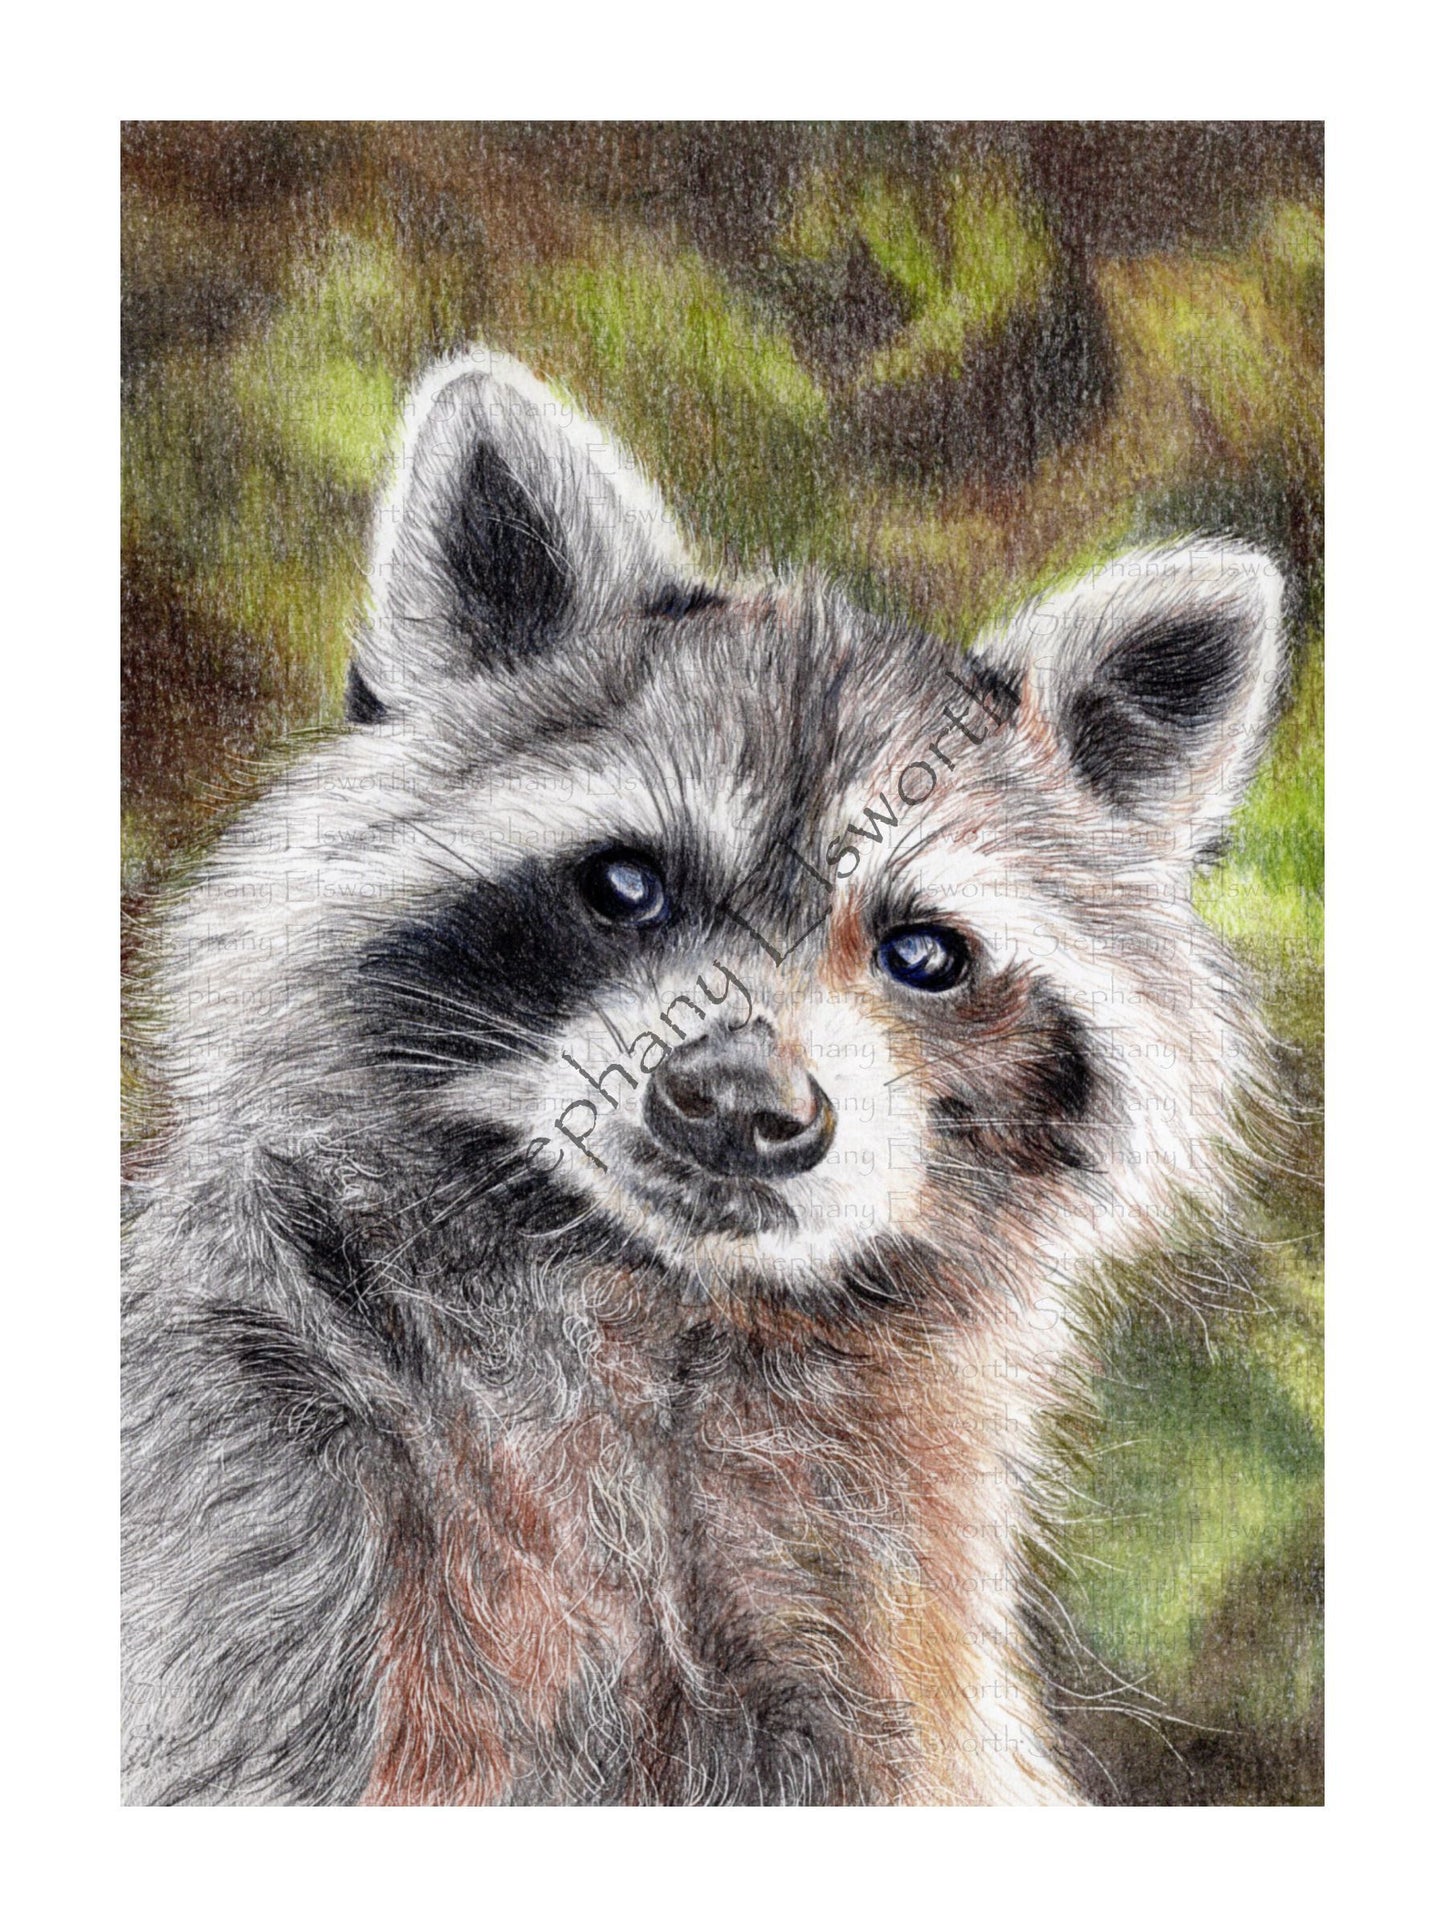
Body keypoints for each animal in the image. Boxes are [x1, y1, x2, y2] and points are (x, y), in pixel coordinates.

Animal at [122, 349, 1287, 1805]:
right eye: (627, 883)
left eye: (922, 952)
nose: (739, 1103)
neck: (665, 1299)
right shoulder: (262, 1521)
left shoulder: (869, 1632)